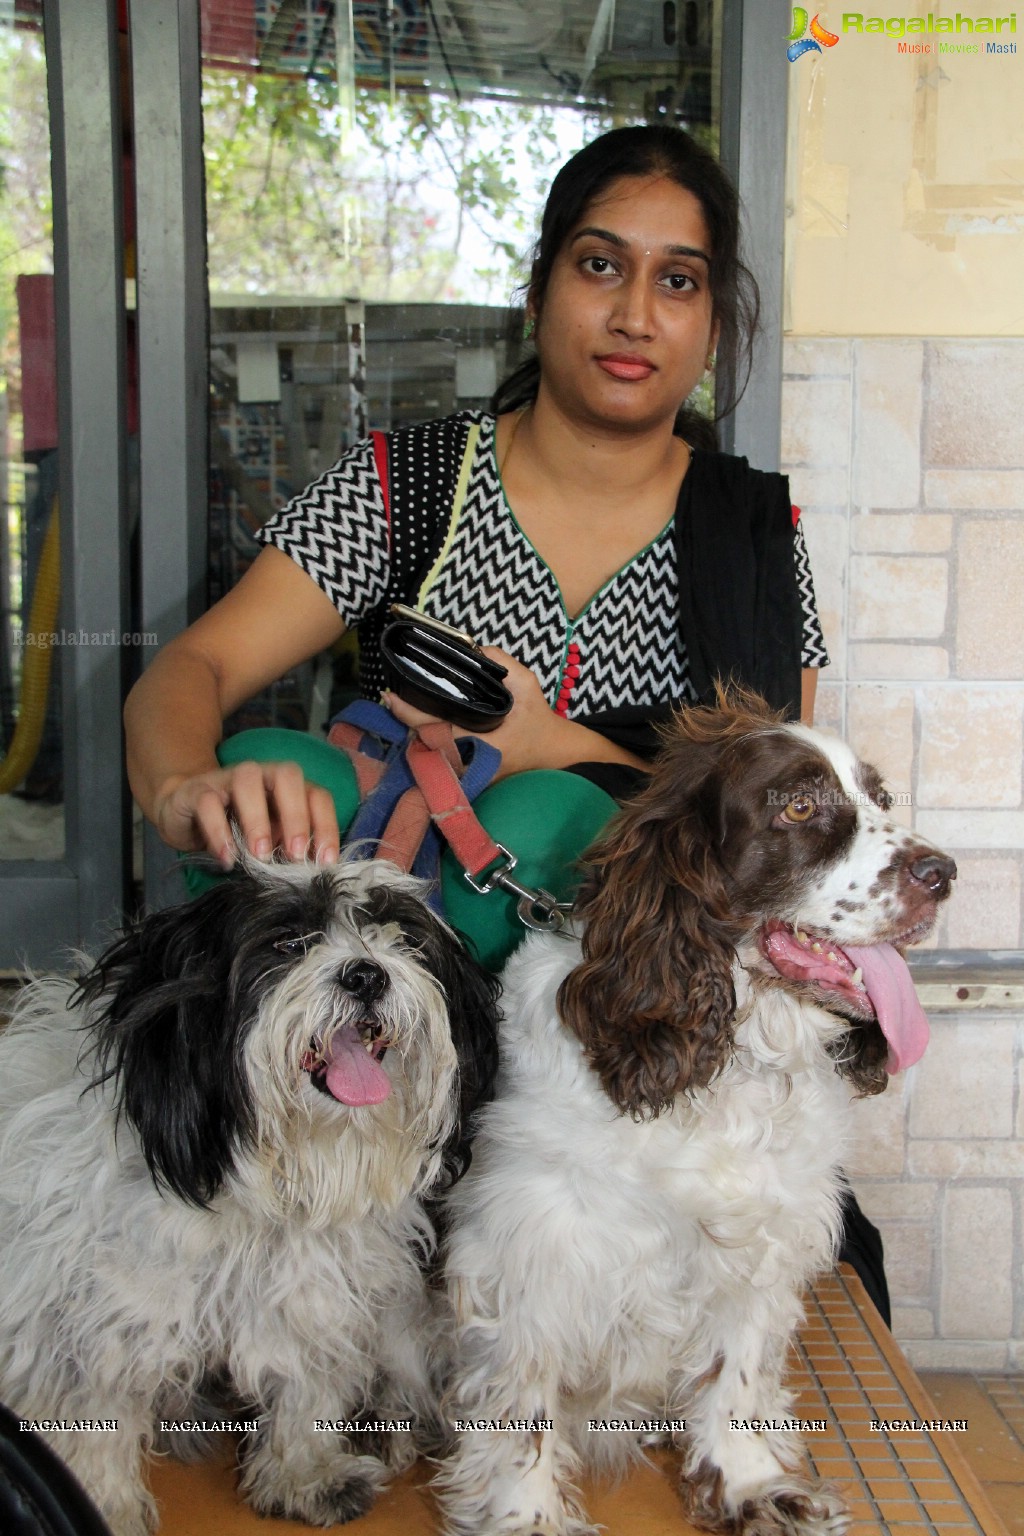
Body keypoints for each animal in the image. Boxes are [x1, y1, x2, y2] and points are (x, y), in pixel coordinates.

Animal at [0, 854, 500, 1536]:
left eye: (403, 938)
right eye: (287, 943)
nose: (366, 974)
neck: (262, 1182)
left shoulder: (308, 1288)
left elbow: (305, 1380)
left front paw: (305, 1473)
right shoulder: (96, 1312)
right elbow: (94, 1408)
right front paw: (100, 1502)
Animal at [442, 694, 964, 1536]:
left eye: (881, 797)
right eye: (798, 805)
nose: (944, 873)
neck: (727, 1063)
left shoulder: (763, 1236)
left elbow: (737, 1373)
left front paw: (750, 1485)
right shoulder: (531, 1250)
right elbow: (523, 1406)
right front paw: (528, 1514)